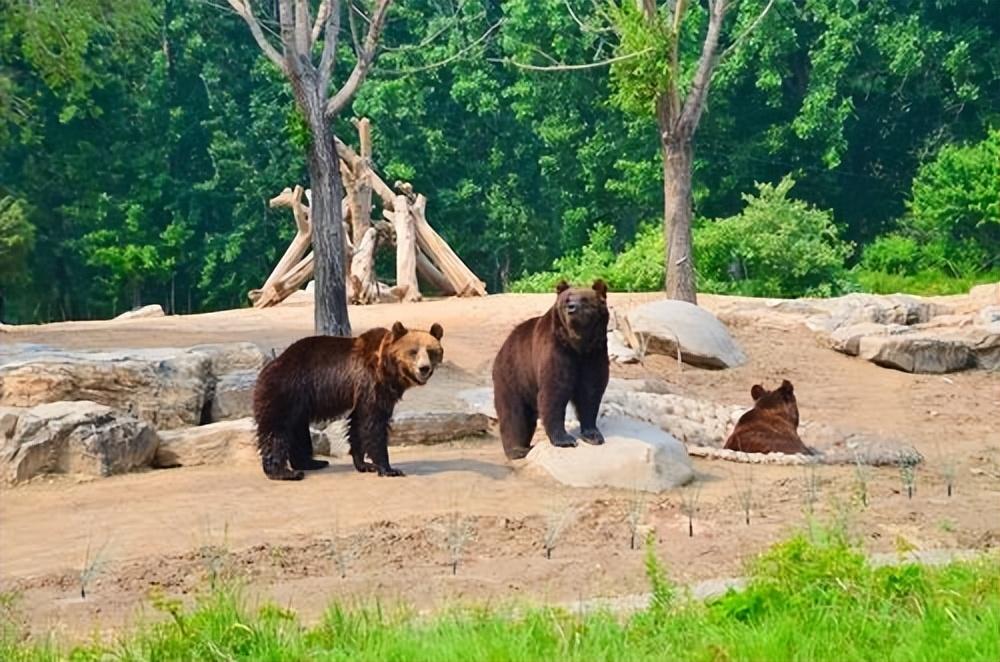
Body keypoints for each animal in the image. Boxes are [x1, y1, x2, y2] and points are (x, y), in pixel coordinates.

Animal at [254, 322, 446, 482]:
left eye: (431, 351)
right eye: (413, 351)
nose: (424, 368)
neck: (388, 370)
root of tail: (270, 366)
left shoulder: (371, 391)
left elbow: (359, 423)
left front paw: (364, 464)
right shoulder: (370, 383)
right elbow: (373, 422)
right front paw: (389, 468)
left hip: (299, 404)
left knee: (298, 430)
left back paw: (311, 463)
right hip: (287, 391)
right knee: (276, 430)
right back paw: (285, 472)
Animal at [492, 280, 608, 462]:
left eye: (584, 299)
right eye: (567, 299)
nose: (571, 308)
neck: (578, 345)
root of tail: (504, 345)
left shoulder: (594, 353)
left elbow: (590, 391)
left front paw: (593, 435)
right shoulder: (557, 349)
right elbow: (554, 391)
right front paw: (565, 439)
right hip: (513, 375)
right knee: (514, 413)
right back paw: (517, 449)